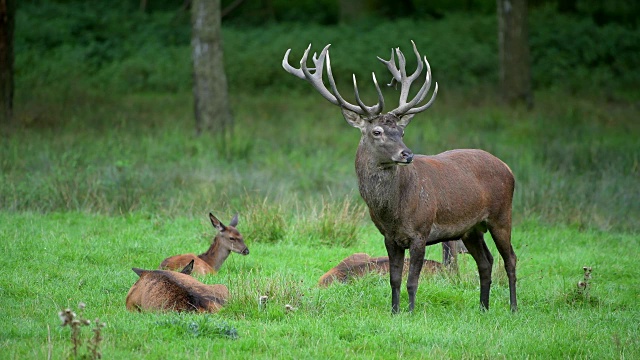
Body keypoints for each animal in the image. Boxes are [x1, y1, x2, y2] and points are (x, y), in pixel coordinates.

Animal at [282, 41, 516, 312]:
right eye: (377, 131)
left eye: (401, 131)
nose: (407, 154)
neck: (393, 211)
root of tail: (508, 168)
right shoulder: (389, 238)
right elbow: (394, 279)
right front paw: (394, 312)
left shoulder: (421, 232)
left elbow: (412, 281)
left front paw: (411, 312)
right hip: (471, 229)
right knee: (486, 261)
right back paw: (483, 308)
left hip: (501, 214)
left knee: (510, 258)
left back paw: (513, 307)